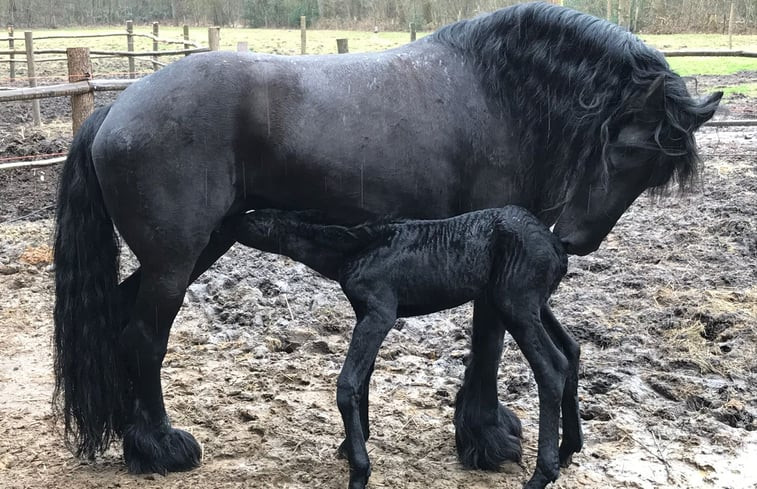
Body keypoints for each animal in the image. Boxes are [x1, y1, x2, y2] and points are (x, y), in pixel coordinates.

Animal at [233, 205, 580, 488]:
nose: (230, 220)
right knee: (572, 350)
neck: (359, 247)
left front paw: (359, 472)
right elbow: (364, 378)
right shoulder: (364, 313)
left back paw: (541, 475)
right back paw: (568, 449)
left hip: (516, 305)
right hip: (530, 303)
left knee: (552, 367)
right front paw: (351, 449)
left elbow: (347, 384)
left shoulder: (381, 312)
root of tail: (557, 247)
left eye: (252, 219)